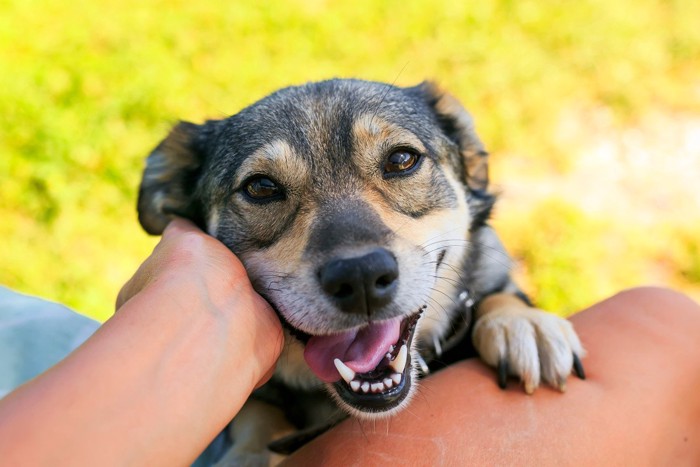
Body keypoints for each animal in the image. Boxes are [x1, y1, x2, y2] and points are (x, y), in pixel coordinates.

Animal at [137, 79, 584, 464]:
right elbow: (257, 414)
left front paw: (522, 323)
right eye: (260, 187)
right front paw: (249, 454)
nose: (361, 277)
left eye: (402, 159)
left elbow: (496, 294)